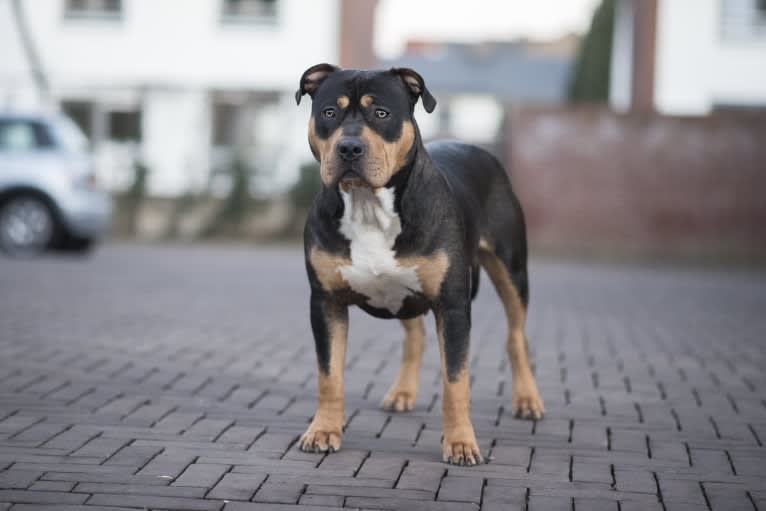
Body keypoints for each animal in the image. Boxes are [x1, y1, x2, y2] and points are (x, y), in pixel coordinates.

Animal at [296, 64, 544, 468]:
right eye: (329, 112)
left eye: (381, 113)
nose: (349, 147)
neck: (369, 207)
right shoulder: (325, 303)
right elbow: (328, 374)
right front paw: (323, 431)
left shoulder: (453, 307)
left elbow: (455, 381)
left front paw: (461, 444)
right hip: (403, 292)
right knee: (415, 336)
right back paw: (402, 393)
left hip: (512, 270)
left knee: (516, 336)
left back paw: (527, 400)